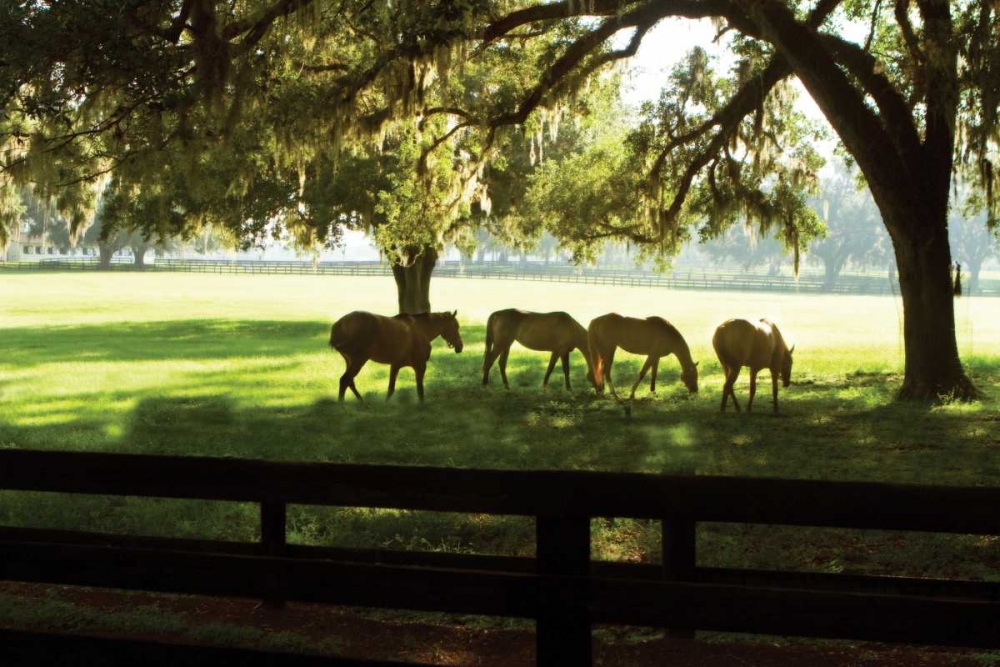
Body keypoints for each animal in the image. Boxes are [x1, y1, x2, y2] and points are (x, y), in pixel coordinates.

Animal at [332, 310, 464, 402]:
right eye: (455, 326)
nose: (460, 346)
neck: (420, 329)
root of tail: (340, 325)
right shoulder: (420, 365)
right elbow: (420, 389)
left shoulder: (395, 365)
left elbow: (391, 389)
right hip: (359, 360)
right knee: (345, 380)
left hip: (350, 361)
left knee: (349, 381)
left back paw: (362, 402)